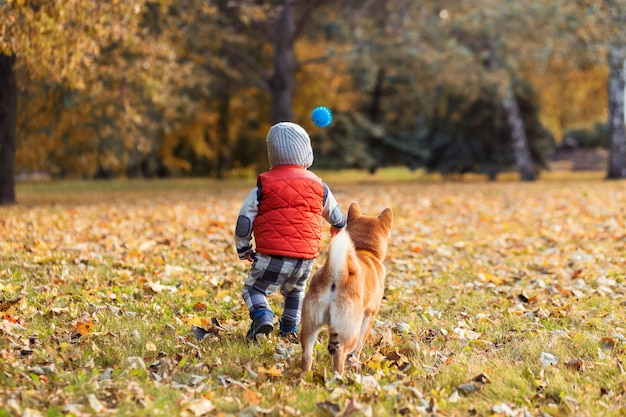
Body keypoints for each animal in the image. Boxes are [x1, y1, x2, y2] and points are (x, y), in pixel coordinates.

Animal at [298, 202, 390, 374]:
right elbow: (360, 345)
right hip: (350, 330)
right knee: (341, 352)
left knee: (307, 354)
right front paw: (355, 361)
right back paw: (339, 375)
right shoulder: (369, 316)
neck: (364, 251)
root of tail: (336, 275)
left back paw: (305, 375)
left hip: (310, 325)